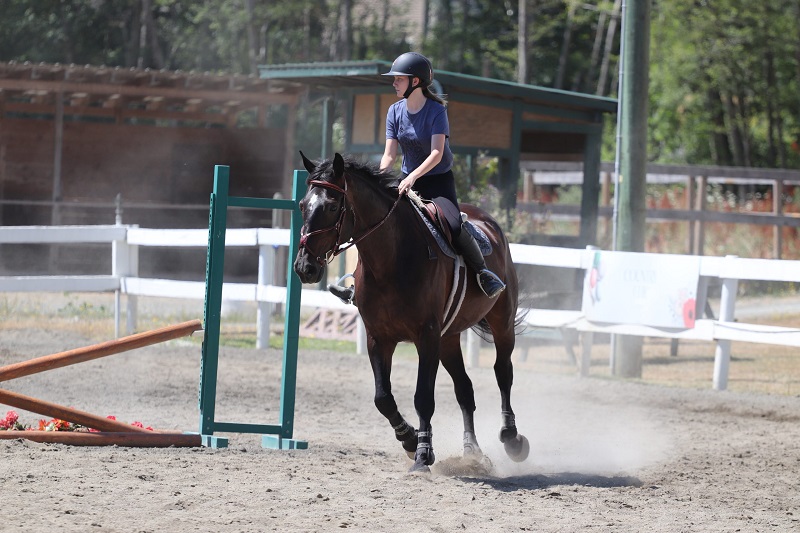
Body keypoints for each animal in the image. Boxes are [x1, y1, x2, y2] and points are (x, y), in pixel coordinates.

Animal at [290, 152, 528, 472]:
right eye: (303, 205)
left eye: (330, 206)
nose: (305, 267)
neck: (390, 259)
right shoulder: (379, 338)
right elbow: (383, 398)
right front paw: (410, 440)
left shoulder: (426, 337)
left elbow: (423, 397)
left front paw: (423, 455)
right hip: (448, 338)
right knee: (465, 390)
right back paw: (472, 452)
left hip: (501, 323)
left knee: (503, 372)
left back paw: (512, 438)